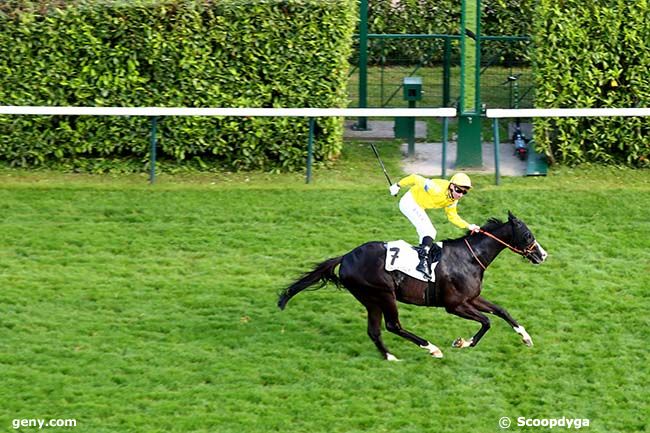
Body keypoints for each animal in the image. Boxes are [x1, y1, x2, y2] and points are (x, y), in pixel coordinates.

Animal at [276, 211, 544, 360]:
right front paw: (463, 342)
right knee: (393, 325)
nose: (542, 255)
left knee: (374, 330)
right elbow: (487, 321)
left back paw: (390, 357)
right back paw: (432, 348)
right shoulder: (455, 305)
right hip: (383, 294)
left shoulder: (472, 298)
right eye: (528, 236)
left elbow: (501, 311)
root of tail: (346, 257)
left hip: (371, 300)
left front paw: (526, 337)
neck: (468, 257)